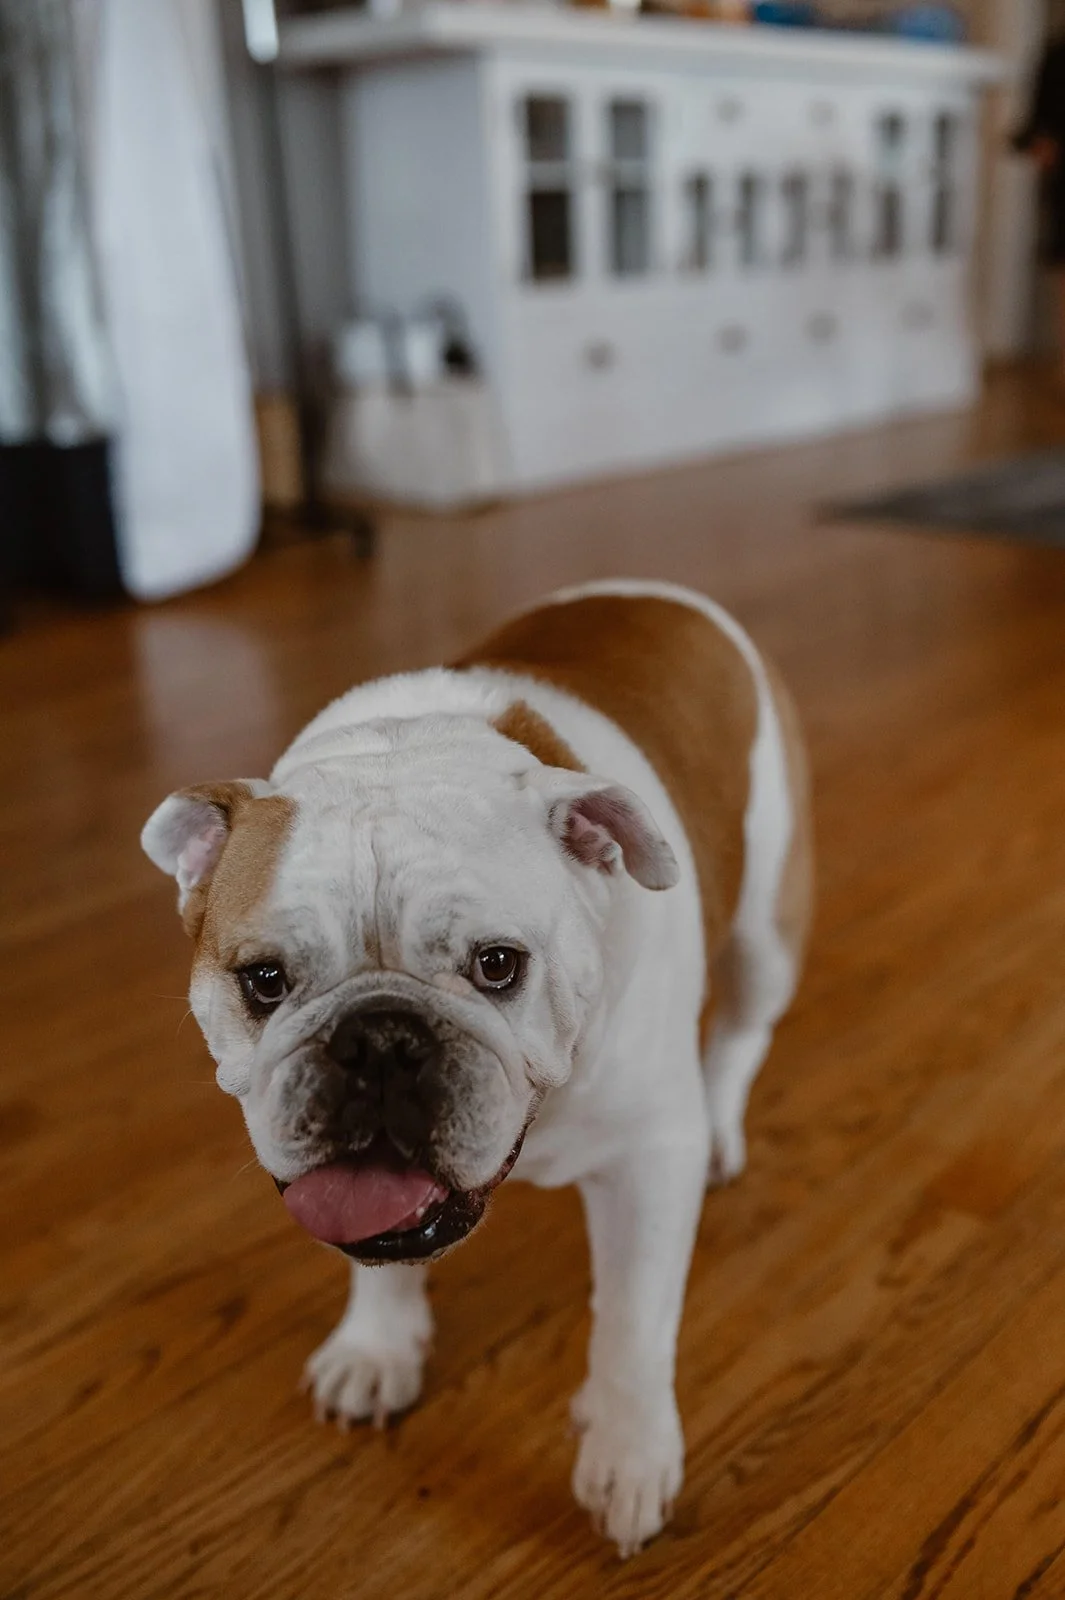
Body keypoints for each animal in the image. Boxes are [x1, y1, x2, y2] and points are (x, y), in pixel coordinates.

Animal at [141, 579, 812, 1556]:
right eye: (263, 981)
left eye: (498, 965)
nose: (377, 1038)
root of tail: (664, 594)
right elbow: (377, 1255)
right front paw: (376, 1346)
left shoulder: (650, 1161)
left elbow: (632, 1325)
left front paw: (628, 1451)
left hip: (767, 936)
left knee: (738, 1033)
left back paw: (725, 1125)